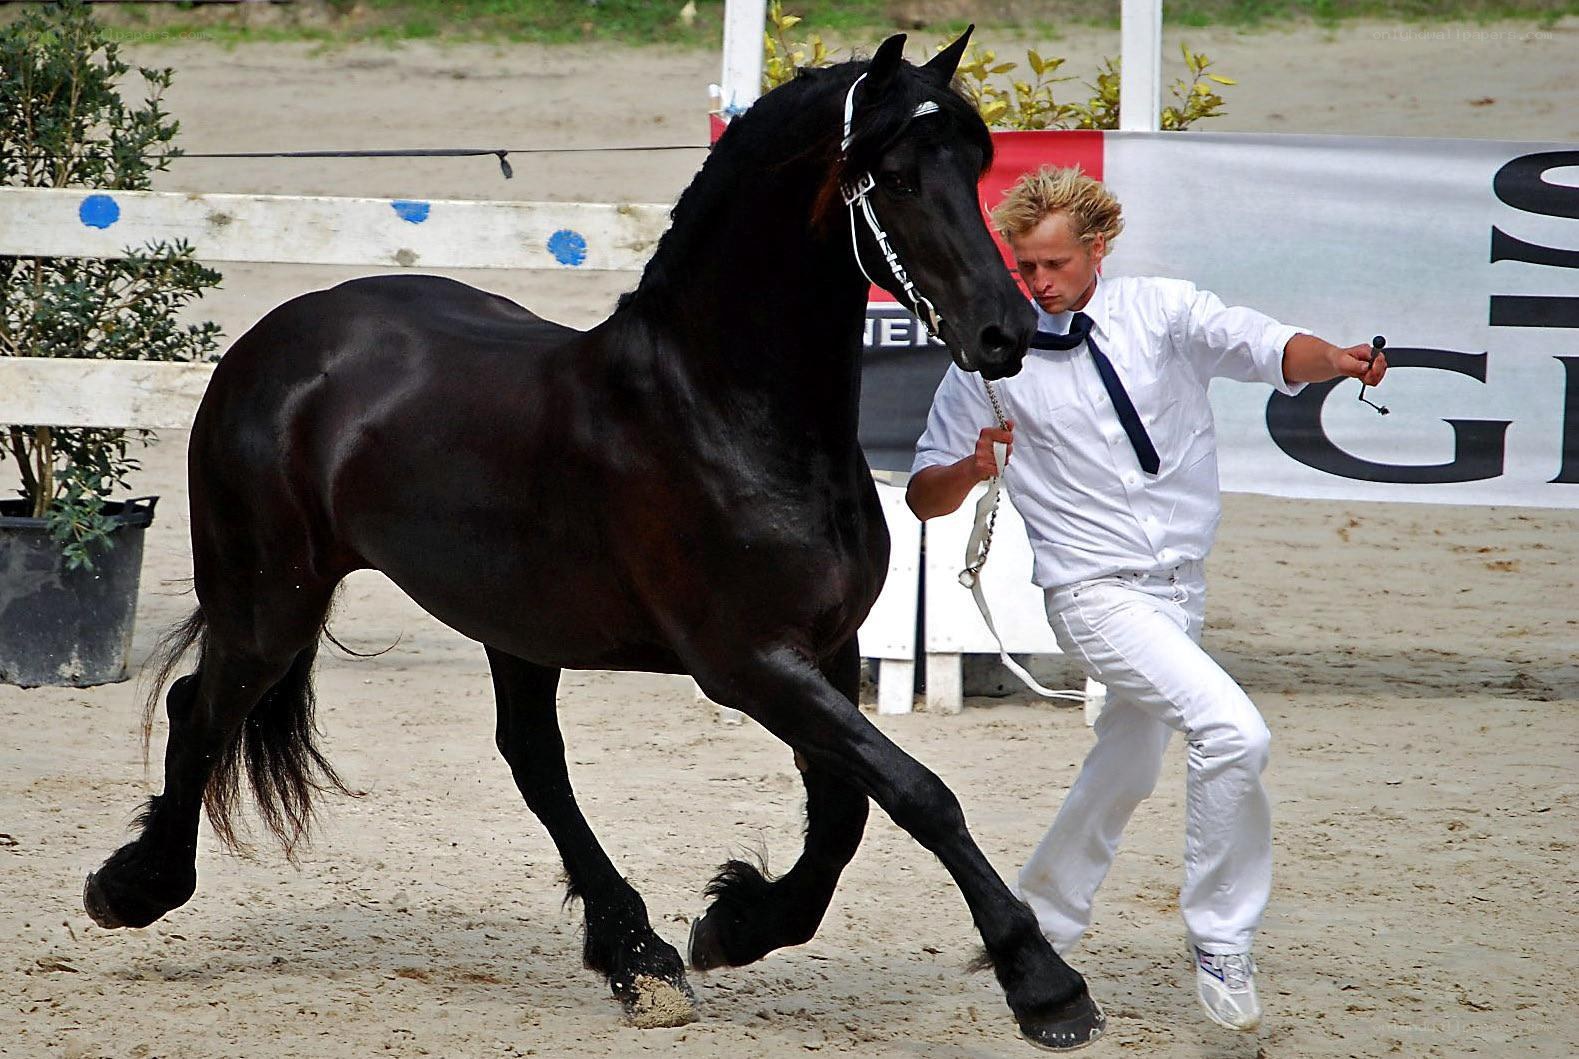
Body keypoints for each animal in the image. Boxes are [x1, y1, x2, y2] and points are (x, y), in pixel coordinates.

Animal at [84, 31, 1106, 1050]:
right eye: (894, 177)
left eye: (974, 163)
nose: (1006, 332)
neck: (723, 411)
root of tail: (275, 337)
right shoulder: (749, 665)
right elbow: (917, 792)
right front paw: (1045, 984)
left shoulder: (827, 647)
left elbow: (848, 811)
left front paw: (734, 924)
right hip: (271, 598)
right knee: (200, 710)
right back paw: (131, 888)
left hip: (510, 624)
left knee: (532, 760)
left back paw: (638, 956)